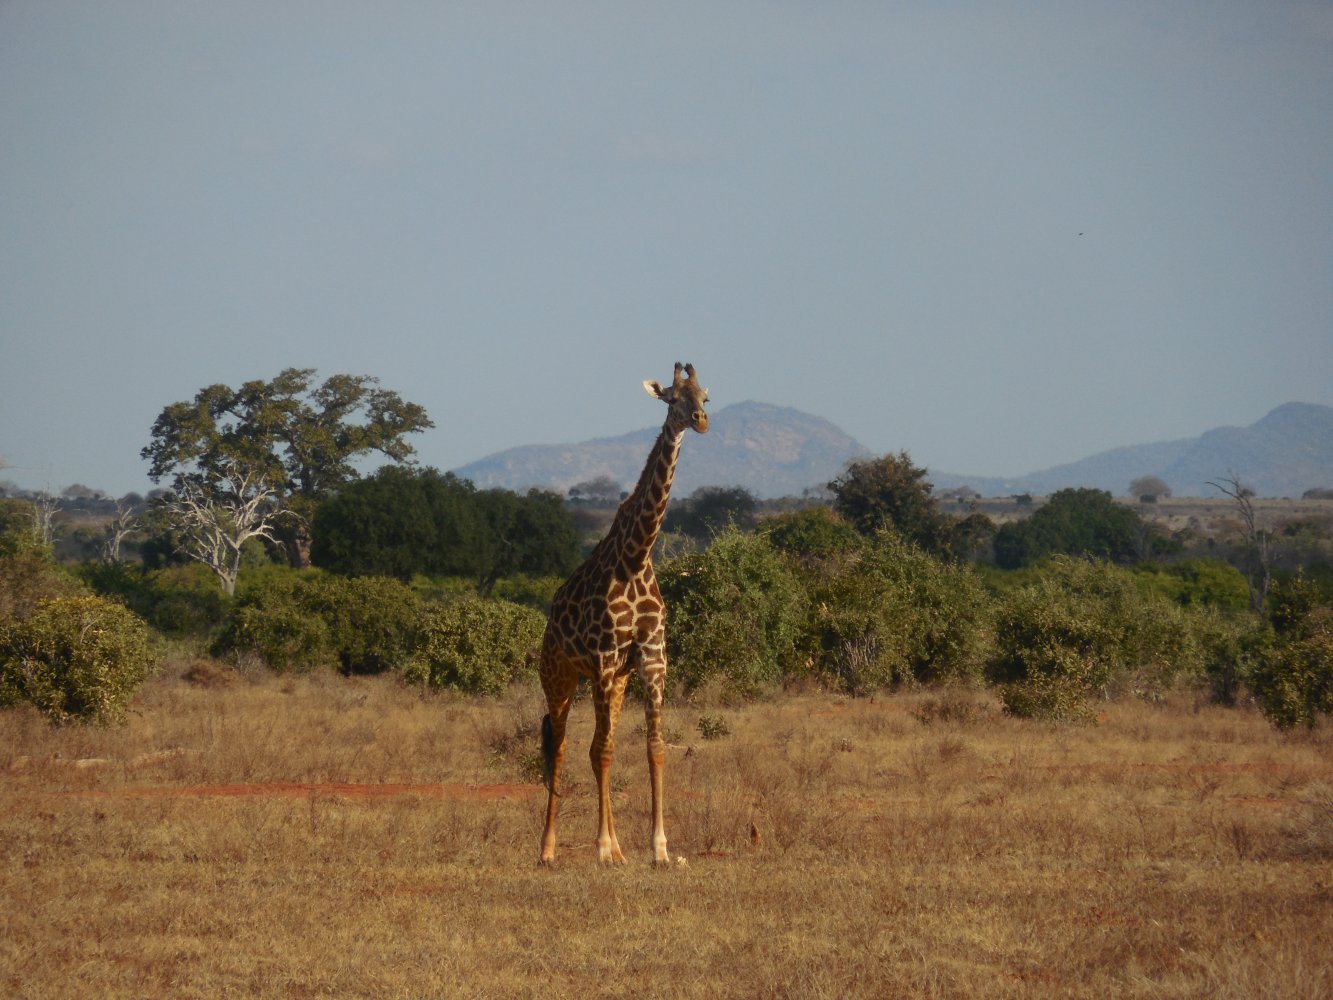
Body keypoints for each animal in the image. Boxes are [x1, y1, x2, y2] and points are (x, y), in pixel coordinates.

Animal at [538, 362, 714, 869]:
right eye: (672, 398)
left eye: (704, 397)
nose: (699, 421)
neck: (636, 558)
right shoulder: (601, 657)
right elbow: (603, 752)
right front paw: (599, 847)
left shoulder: (651, 659)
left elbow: (653, 748)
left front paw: (659, 848)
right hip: (560, 676)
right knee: (561, 749)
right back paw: (548, 850)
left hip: (615, 681)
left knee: (594, 745)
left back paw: (617, 848)